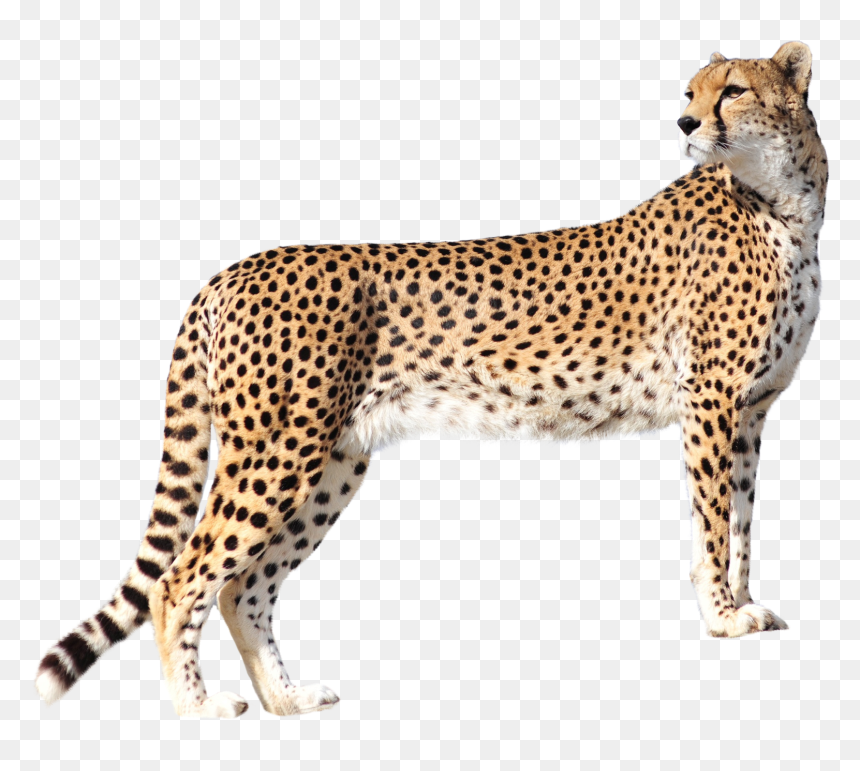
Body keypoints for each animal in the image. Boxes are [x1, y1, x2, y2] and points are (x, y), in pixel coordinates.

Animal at [35, 42, 827, 717]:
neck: (785, 201)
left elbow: (742, 520)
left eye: (733, 90)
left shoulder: (752, 410)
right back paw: (197, 708)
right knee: (181, 578)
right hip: (279, 451)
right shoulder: (712, 403)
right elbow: (713, 522)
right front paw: (722, 617)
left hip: (333, 462)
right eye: (691, 91)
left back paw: (287, 699)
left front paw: (745, 606)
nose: (685, 122)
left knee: (243, 587)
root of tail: (232, 270)